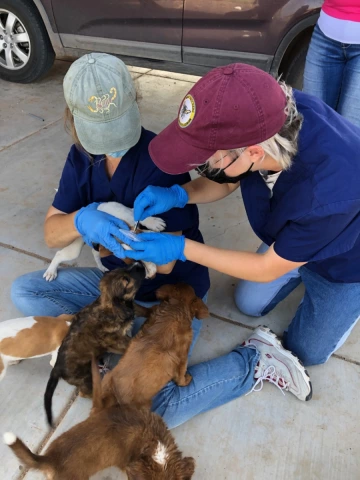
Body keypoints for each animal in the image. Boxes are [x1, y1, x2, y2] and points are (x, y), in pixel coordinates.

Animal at [44, 264, 146, 426]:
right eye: (126, 280)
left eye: (124, 267)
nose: (139, 263)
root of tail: (56, 369)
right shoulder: (115, 341)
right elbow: (131, 341)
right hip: (86, 378)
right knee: (84, 392)